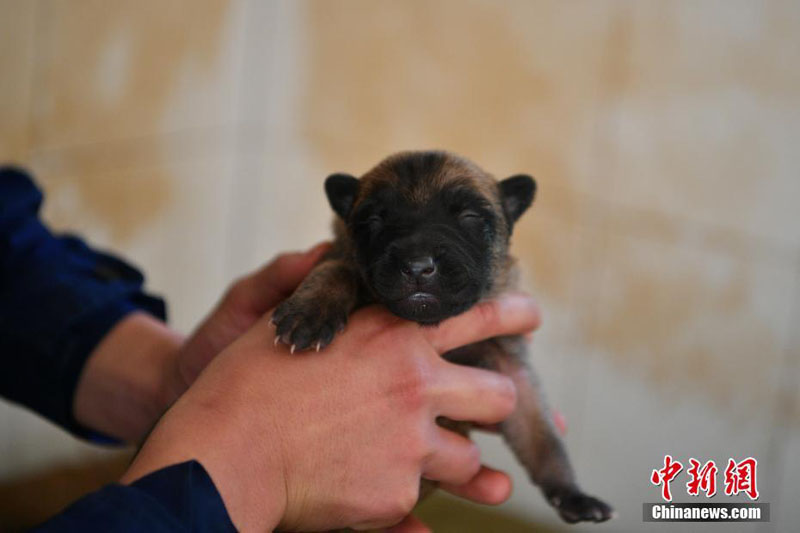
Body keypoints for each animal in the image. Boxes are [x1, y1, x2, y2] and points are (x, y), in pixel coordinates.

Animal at [272, 150, 616, 524]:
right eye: (374, 220)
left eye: (469, 217)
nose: (417, 266)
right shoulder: (336, 257)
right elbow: (338, 268)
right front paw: (311, 311)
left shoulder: (511, 370)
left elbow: (541, 435)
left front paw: (572, 494)